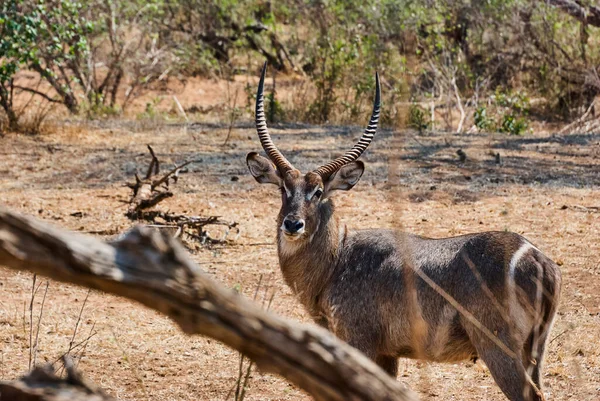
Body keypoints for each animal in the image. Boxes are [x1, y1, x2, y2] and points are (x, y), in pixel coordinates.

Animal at [245, 65, 564, 400]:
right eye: (283, 188)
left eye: (318, 192)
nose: (292, 224)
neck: (337, 259)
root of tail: (536, 257)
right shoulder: (388, 353)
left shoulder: (359, 340)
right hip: (535, 350)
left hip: (498, 347)